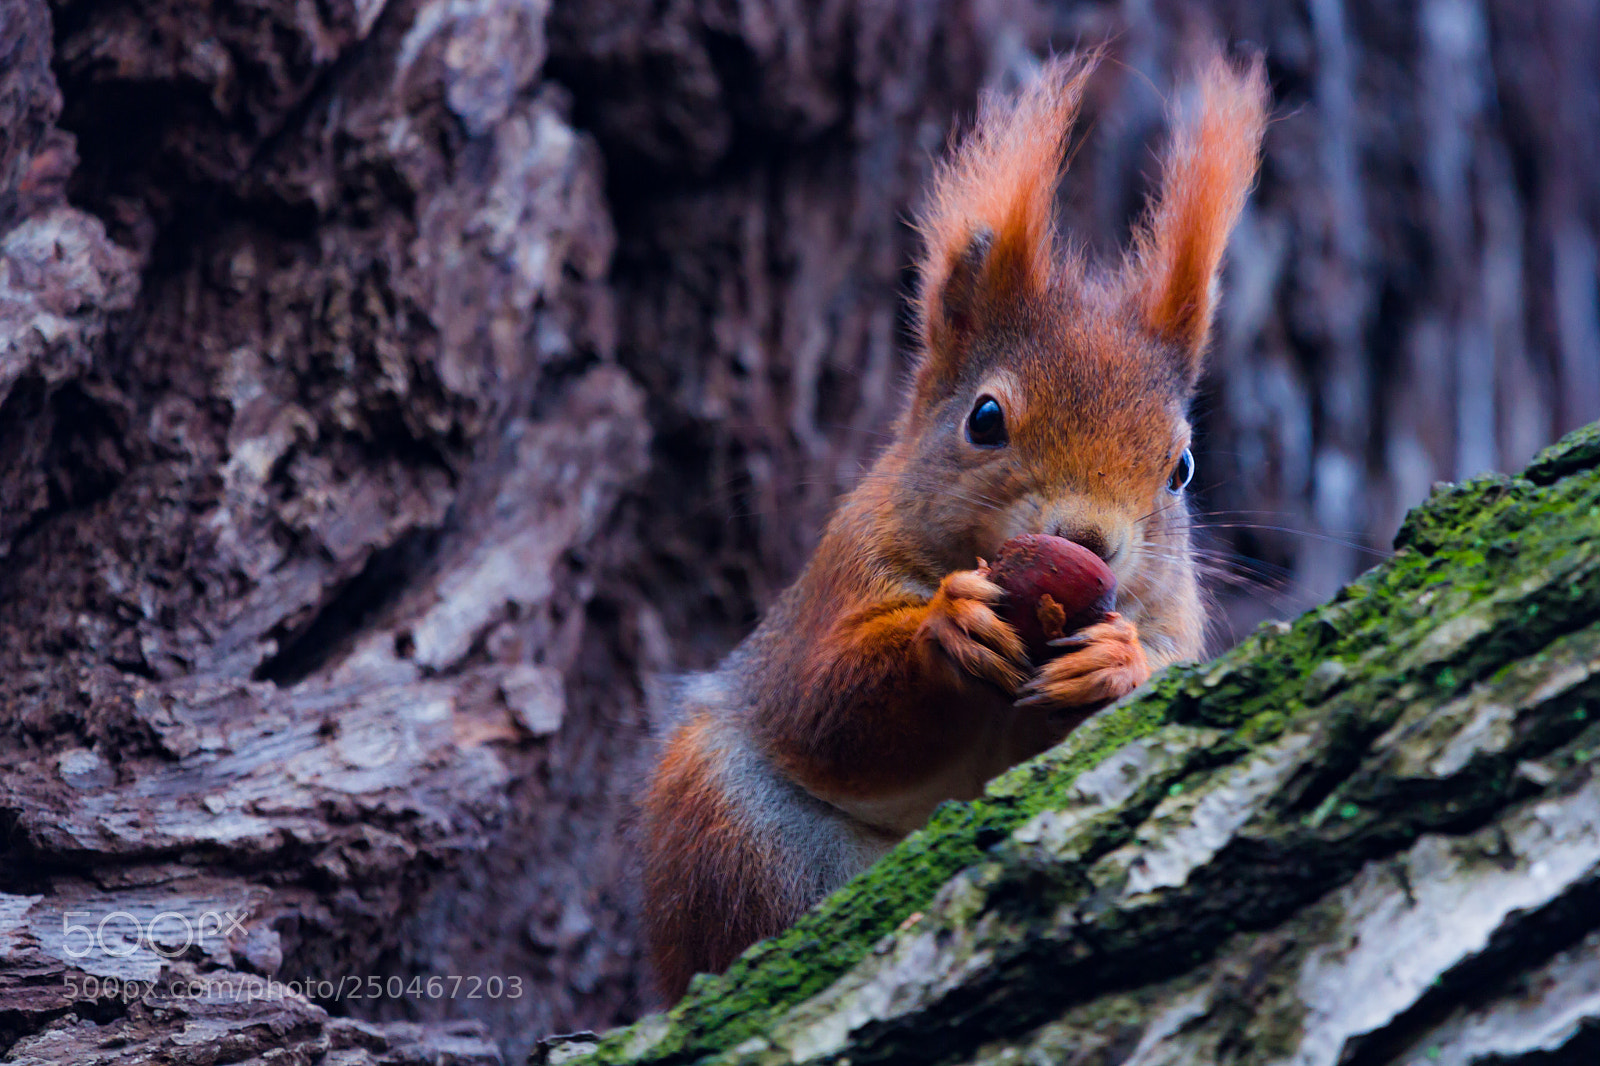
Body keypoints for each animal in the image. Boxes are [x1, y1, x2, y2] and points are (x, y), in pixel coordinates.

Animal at [639, 49, 1269, 1001]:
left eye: (1183, 470)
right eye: (985, 419)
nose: (1087, 541)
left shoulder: (1176, 623)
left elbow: (1161, 677)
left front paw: (1116, 663)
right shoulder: (838, 577)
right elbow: (827, 701)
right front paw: (951, 623)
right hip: (722, 817)